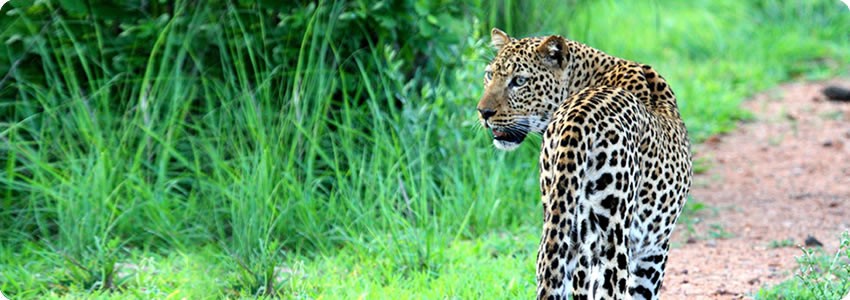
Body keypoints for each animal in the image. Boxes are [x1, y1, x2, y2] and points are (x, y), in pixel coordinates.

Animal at [474, 27, 692, 298]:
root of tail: (579, 118)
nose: (483, 112)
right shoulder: (655, 249)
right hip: (611, 238)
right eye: (489, 75)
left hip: (560, 225)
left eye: (520, 81)